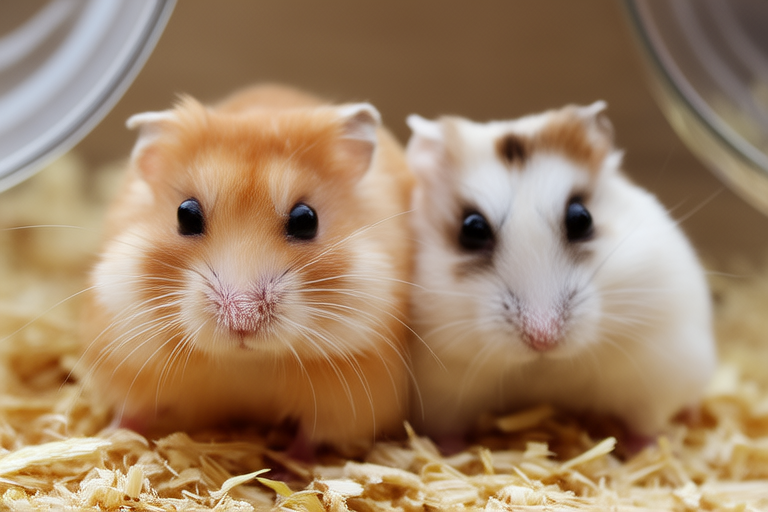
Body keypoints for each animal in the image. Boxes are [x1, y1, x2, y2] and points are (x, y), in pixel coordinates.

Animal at [78, 85, 414, 453]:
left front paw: (289, 464)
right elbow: (131, 411)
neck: (246, 361)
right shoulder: (130, 361)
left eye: (306, 220)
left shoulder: (348, 398)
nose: (243, 319)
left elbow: (311, 438)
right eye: (186, 215)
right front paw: (109, 437)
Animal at [406, 102, 717, 439]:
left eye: (581, 219)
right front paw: (449, 447)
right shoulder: (442, 397)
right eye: (472, 229)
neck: (542, 365)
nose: (543, 339)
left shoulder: (654, 378)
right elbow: (446, 434)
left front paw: (641, 446)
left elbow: (645, 429)